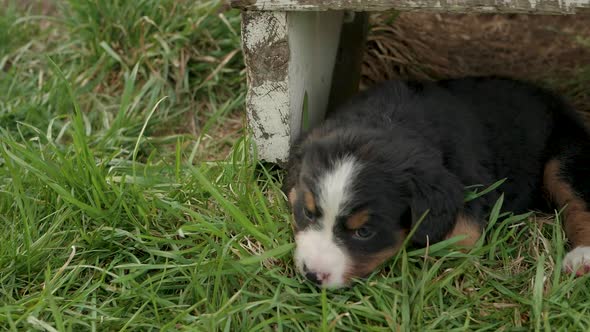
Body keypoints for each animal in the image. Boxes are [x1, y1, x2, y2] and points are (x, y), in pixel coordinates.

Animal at [284, 77, 590, 288]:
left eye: (364, 232)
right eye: (307, 213)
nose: (312, 275)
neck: (392, 120)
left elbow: (460, 238)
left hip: (565, 156)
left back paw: (582, 259)